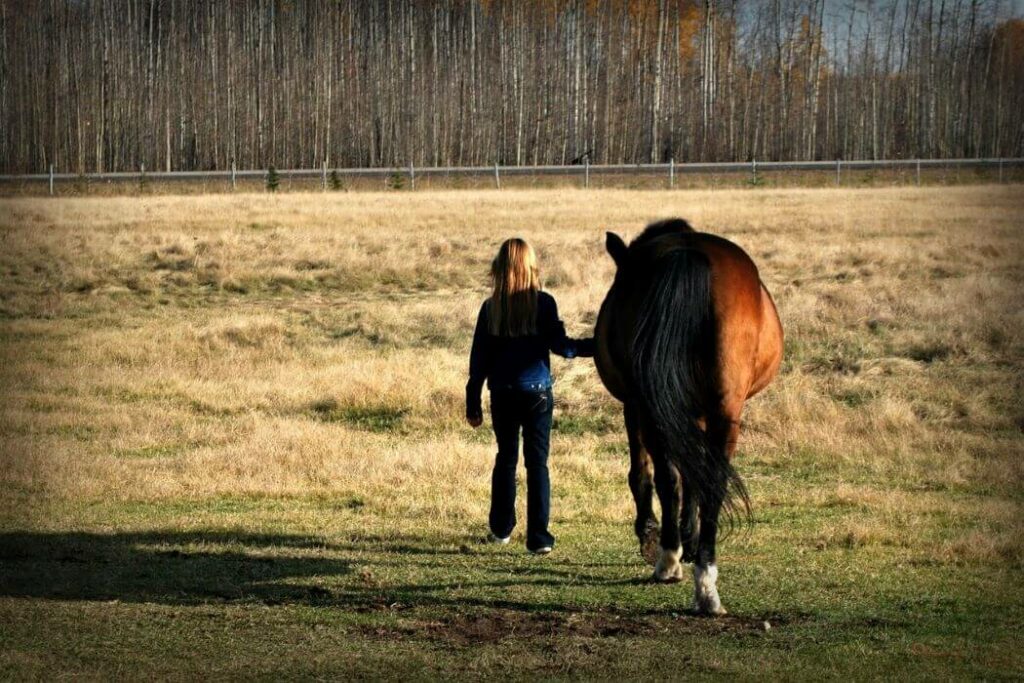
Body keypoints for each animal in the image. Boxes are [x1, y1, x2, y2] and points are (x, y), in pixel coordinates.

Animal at [593, 220, 782, 618]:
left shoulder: (635, 405)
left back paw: (670, 559)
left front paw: (655, 535)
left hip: (655, 407)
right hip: (723, 411)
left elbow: (645, 473)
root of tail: (688, 252)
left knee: (672, 477)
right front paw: (685, 539)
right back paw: (704, 580)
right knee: (708, 481)